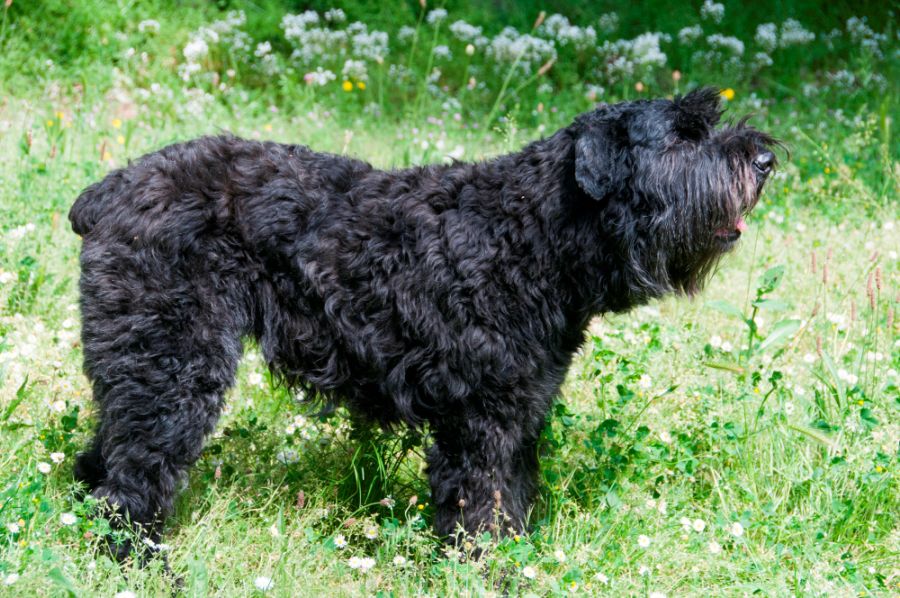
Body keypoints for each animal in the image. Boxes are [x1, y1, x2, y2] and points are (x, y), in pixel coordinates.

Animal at [68, 89, 772, 556]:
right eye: (682, 137)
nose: (764, 157)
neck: (534, 232)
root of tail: (106, 192)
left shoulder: (519, 414)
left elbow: (512, 501)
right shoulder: (482, 421)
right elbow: (482, 510)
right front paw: (488, 573)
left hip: (140, 365)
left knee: (104, 461)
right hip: (174, 368)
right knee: (135, 480)